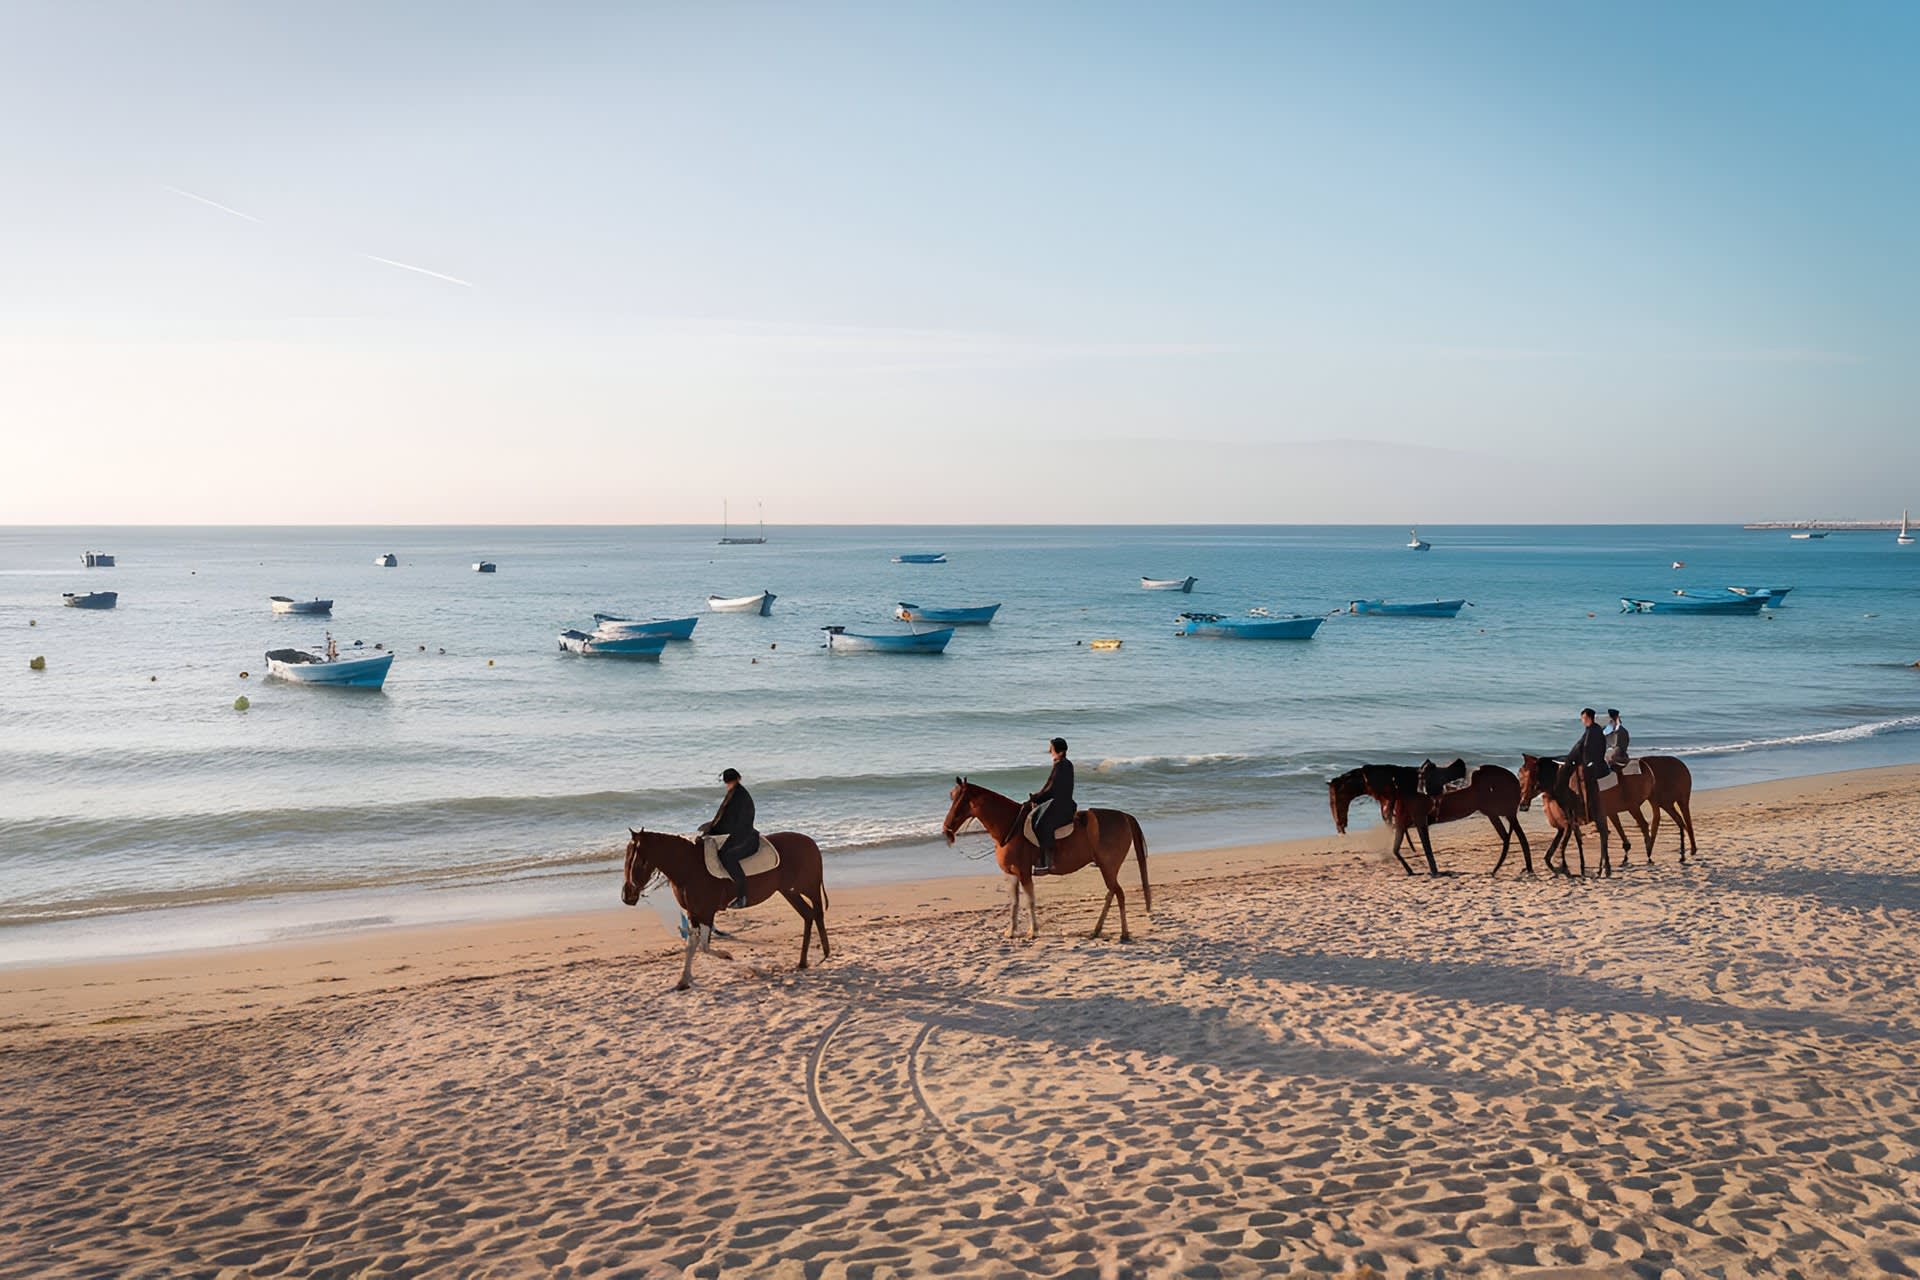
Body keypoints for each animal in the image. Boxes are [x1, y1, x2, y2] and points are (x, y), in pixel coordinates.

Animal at [621, 828, 830, 990]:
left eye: (638, 861)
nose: (627, 896)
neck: (689, 867)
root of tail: (811, 843)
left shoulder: (706, 912)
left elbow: (704, 947)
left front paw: (729, 957)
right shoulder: (693, 913)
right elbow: (691, 946)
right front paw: (683, 981)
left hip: (808, 888)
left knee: (817, 914)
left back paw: (825, 954)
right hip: (790, 892)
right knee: (808, 916)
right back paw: (803, 962)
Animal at [942, 778, 1151, 941]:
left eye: (962, 800)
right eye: (952, 797)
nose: (946, 830)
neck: (1011, 827)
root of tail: (1123, 816)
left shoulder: (1024, 873)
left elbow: (1029, 901)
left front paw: (1032, 932)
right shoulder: (1012, 874)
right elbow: (1014, 903)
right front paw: (1011, 932)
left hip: (1108, 866)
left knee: (1119, 894)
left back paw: (1123, 933)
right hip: (1106, 867)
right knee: (1111, 893)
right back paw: (1097, 930)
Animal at [1329, 761, 1531, 876]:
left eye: (1336, 798)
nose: (1340, 827)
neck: (1399, 786)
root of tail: (1513, 778)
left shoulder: (1420, 820)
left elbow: (1427, 849)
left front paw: (1434, 871)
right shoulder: (1403, 823)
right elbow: (1396, 849)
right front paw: (1411, 871)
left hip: (1501, 813)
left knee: (1516, 839)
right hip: (1496, 814)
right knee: (1511, 839)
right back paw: (1507, 869)